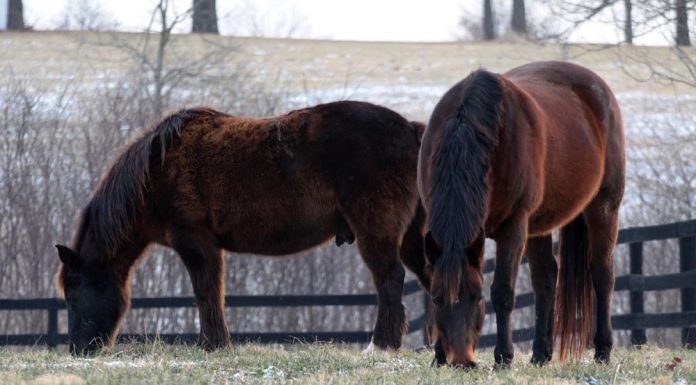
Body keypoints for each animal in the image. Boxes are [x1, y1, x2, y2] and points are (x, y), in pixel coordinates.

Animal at [55, 100, 430, 354]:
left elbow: (206, 291)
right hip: (411, 238)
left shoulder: (196, 243)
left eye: (74, 293)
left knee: (389, 279)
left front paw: (213, 344)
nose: (78, 349)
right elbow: (210, 292)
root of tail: (411, 129)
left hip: (376, 231)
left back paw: (382, 344)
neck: (156, 171)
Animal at [418, 61, 624, 368]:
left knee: (602, 274)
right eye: (436, 298)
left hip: (605, 206)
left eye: (476, 297)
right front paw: (439, 357)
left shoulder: (513, 227)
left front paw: (503, 357)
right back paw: (540, 354)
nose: (462, 361)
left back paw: (602, 350)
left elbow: (503, 291)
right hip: (539, 224)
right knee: (546, 279)